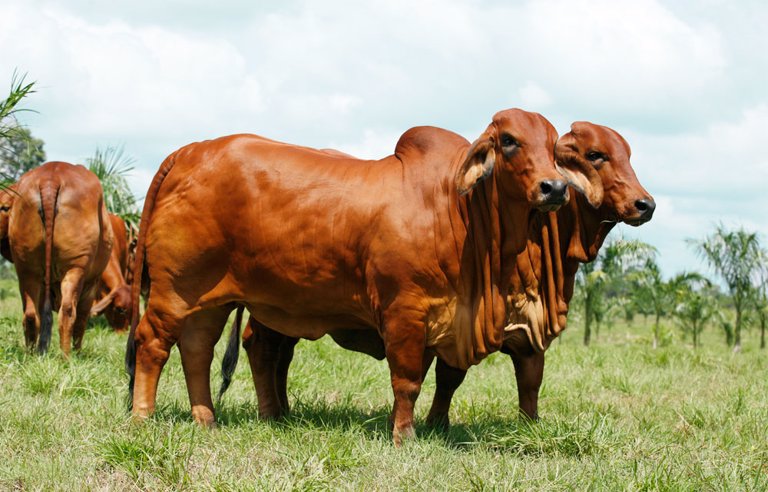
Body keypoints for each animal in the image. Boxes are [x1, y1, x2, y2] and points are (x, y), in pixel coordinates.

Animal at [8, 163, 113, 356]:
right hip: (75, 267)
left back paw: (31, 354)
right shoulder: (92, 284)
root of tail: (51, 177)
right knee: (68, 311)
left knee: (31, 314)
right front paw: (78, 352)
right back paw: (67, 356)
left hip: (26, 267)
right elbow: (81, 319)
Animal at [124, 108, 600, 446]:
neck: (456, 211)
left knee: (196, 351)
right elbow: (407, 381)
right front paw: (403, 437)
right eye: (509, 141)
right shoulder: (405, 311)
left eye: (553, 146)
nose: (554, 188)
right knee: (153, 343)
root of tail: (188, 152)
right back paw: (142, 418)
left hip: (210, 300)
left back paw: (206, 420)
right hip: (173, 289)